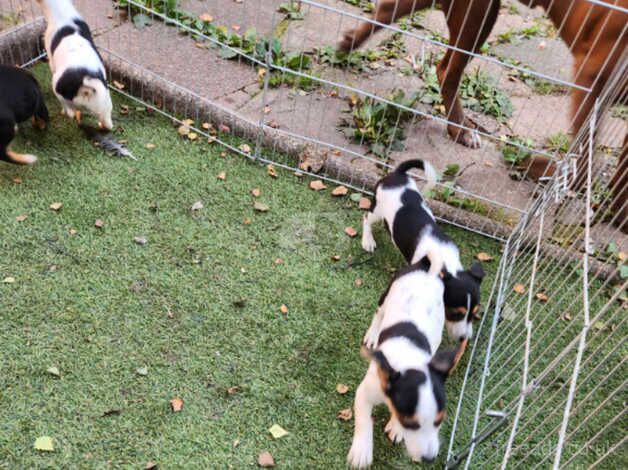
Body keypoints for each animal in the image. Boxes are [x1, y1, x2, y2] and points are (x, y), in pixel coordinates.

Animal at [39, 0, 113, 129]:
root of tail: (86, 81)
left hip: (57, 86)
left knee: (68, 108)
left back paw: (68, 112)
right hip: (104, 102)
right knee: (107, 121)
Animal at [340, 0, 624, 231]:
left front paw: (618, 215)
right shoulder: (591, 78)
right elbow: (585, 157)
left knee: (394, 16)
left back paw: (350, 42)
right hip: (477, 14)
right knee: (448, 70)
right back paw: (461, 129)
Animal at [346, 266, 458, 468]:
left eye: (439, 421)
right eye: (411, 424)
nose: (429, 460)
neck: (409, 357)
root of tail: (427, 270)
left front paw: (396, 427)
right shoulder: (365, 392)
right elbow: (364, 421)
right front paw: (361, 452)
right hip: (387, 295)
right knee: (378, 314)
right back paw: (372, 335)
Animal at [364, 160, 486, 340]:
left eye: (474, 313)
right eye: (456, 313)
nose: (465, 338)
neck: (446, 259)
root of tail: (398, 174)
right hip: (378, 210)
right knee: (366, 218)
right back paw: (367, 241)